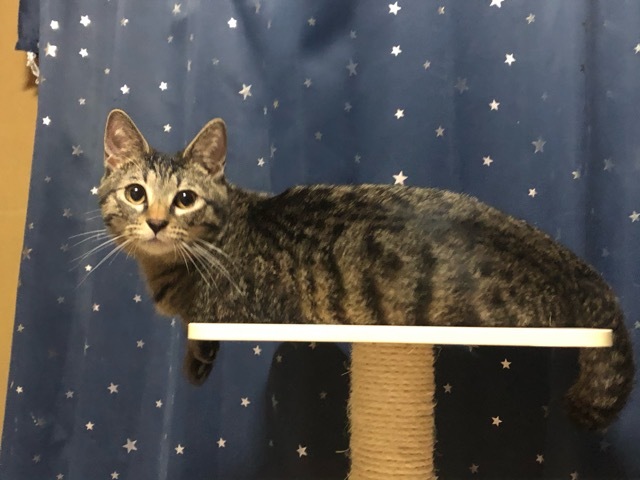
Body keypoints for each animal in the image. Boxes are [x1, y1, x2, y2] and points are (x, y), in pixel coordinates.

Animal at [99, 109, 634, 430]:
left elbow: (203, 328)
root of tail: (578, 270)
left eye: (185, 198)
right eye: (136, 193)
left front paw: (195, 364)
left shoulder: (238, 310)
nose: (156, 222)